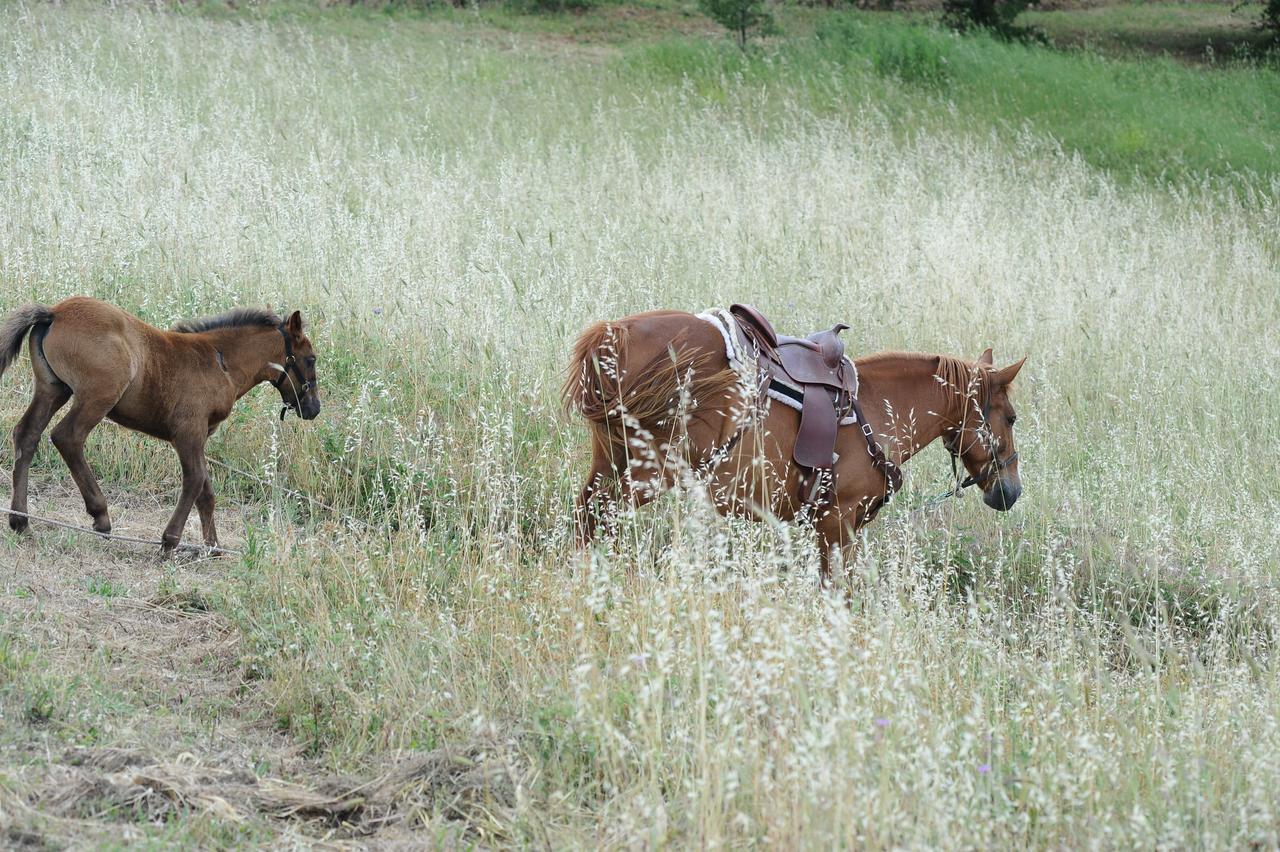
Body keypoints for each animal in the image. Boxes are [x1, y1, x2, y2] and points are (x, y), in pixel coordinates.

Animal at [1, 296, 320, 550]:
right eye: (311, 359)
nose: (313, 408)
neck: (220, 362)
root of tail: (55, 312)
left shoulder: (201, 436)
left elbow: (207, 491)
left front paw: (213, 546)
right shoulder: (188, 431)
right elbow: (194, 481)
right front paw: (170, 541)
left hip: (52, 389)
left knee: (27, 434)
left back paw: (20, 521)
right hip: (98, 396)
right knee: (67, 437)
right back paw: (100, 517)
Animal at [565, 310, 1024, 583]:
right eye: (1012, 418)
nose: (1011, 492)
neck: (878, 409)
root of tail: (615, 332)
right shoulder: (837, 524)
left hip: (611, 464)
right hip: (645, 474)